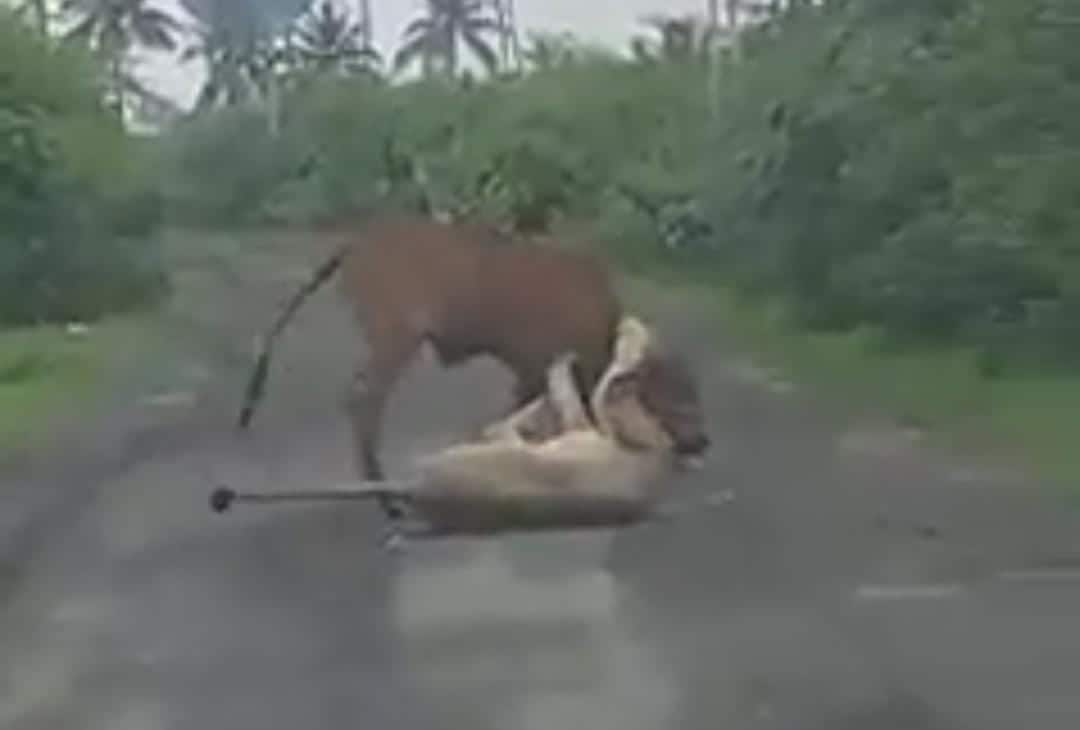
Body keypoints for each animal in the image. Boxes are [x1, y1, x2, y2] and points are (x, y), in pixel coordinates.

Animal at [236, 213, 708, 522]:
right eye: (678, 393)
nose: (701, 441)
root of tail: (358, 242)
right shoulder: (534, 371)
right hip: (396, 340)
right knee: (364, 401)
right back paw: (388, 501)